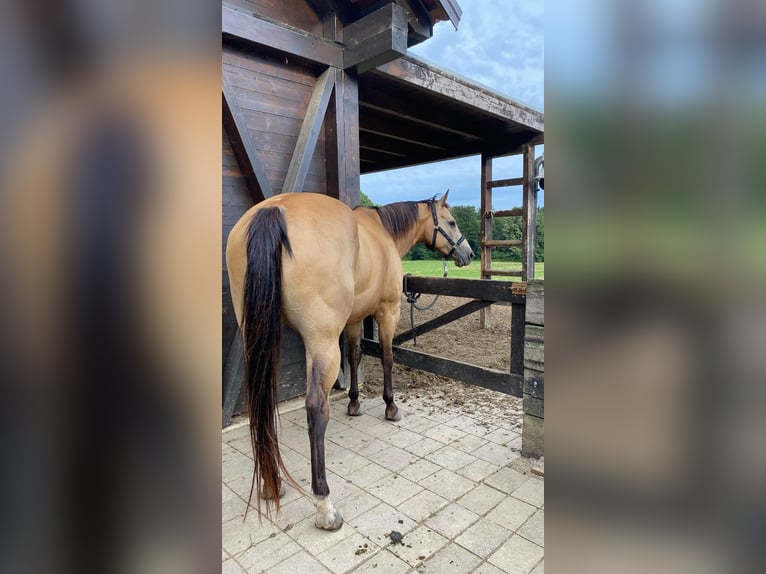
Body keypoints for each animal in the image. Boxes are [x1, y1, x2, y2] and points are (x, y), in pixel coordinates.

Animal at [225, 191, 474, 532]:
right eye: (451, 222)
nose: (468, 253)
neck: (383, 233)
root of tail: (273, 211)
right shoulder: (388, 310)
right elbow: (387, 357)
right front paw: (390, 407)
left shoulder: (355, 318)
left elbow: (355, 356)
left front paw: (354, 402)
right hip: (322, 342)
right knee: (316, 407)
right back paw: (324, 504)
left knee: (262, 402)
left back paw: (271, 483)